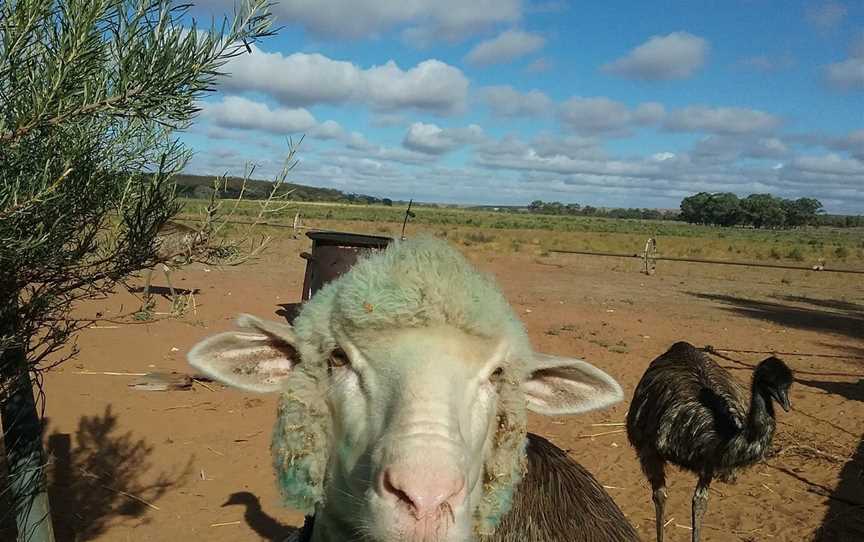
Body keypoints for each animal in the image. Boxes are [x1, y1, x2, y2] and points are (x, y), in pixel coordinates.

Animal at [624, 344, 792, 542]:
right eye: (771, 382)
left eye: (788, 385)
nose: (786, 403)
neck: (720, 436)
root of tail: (681, 345)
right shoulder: (649, 449)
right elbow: (660, 495)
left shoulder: (708, 464)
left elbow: (699, 502)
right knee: (660, 495)